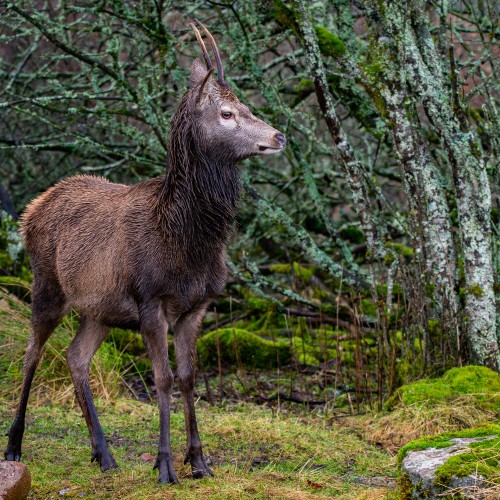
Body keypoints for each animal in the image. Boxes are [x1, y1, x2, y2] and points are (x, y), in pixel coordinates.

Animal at [3, 20, 288, 484]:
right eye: (227, 113)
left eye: (245, 105)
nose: (278, 136)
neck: (187, 243)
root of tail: (32, 208)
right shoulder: (151, 300)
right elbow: (163, 379)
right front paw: (166, 465)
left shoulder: (197, 306)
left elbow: (189, 378)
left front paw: (200, 461)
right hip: (45, 286)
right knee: (31, 355)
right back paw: (13, 445)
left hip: (98, 310)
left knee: (75, 356)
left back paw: (103, 453)